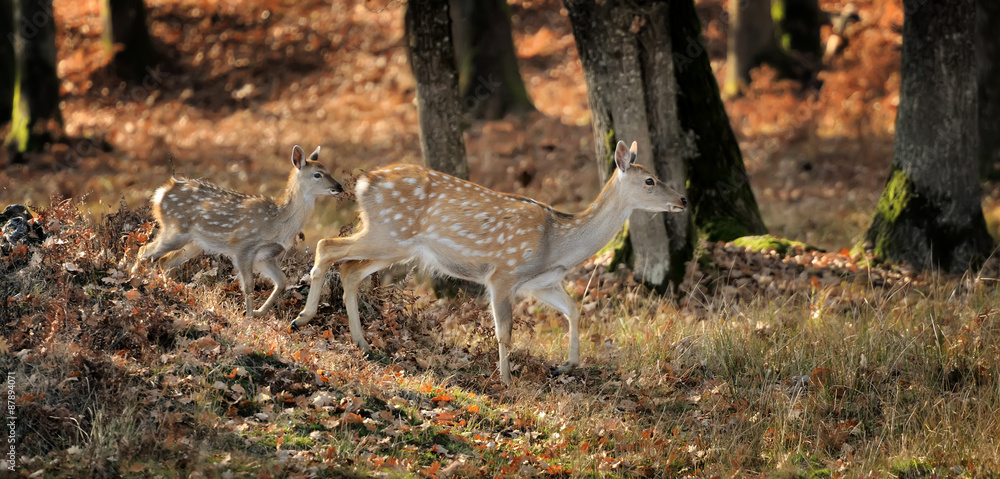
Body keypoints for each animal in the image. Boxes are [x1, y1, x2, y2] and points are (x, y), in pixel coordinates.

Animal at [134, 146, 344, 318]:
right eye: (317, 174)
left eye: (329, 171)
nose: (339, 186)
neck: (276, 224)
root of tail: (161, 193)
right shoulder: (243, 247)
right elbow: (249, 285)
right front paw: (249, 317)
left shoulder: (266, 256)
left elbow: (282, 281)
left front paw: (258, 312)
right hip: (176, 230)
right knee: (145, 251)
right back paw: (135, 281)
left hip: (195, 243)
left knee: (165, 261)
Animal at [292, 142, 688, 386]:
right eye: (650, 180)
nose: (683, 199)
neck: (557, 245)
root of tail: (363, 184)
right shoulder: (503, 274)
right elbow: (505, 331)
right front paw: (506, 380)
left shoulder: (540, 282)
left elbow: (574, 310)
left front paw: (565, 365)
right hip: (389, 233)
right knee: (327, 246)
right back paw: (303, 317)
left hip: (394, 244)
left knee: (350, 269)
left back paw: (362, 342)